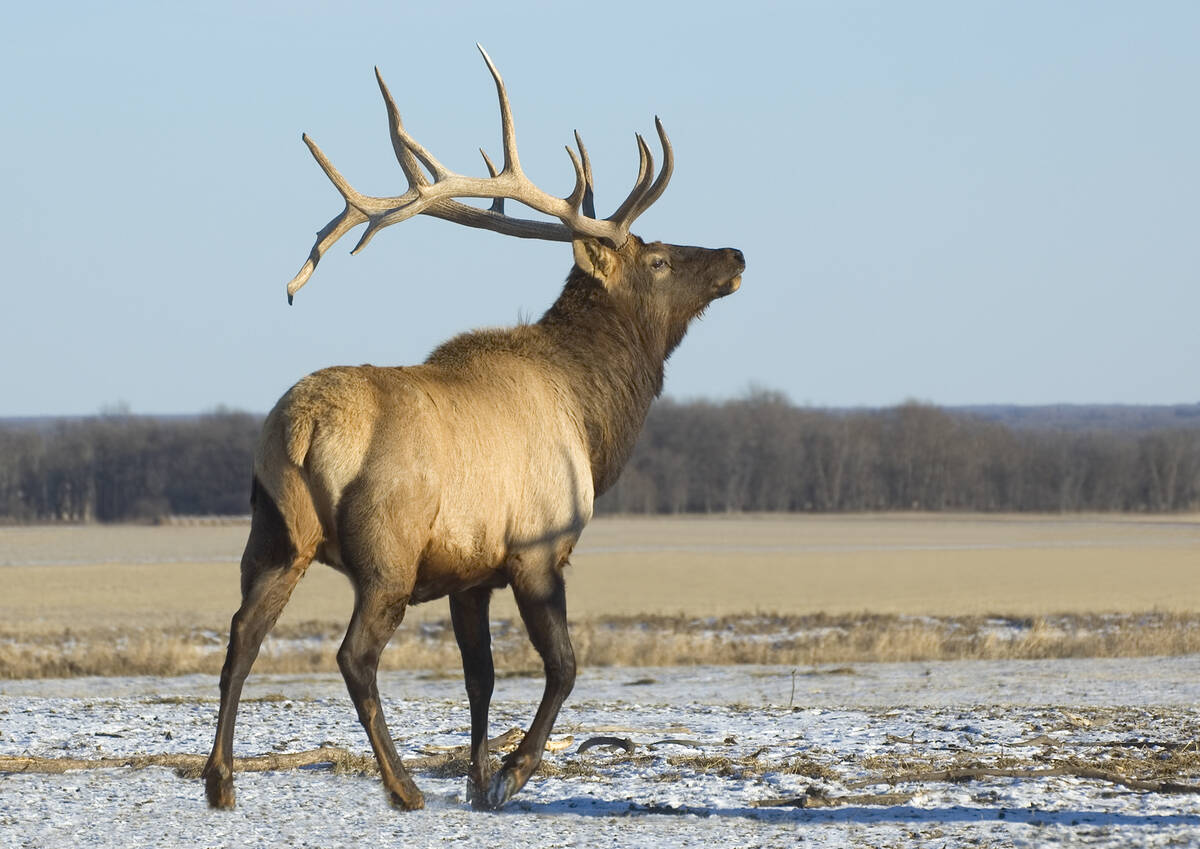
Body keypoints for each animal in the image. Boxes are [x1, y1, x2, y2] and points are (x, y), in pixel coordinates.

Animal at [202, 45, 744, 812]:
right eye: (659, 257)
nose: (735, 256)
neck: (593, 420)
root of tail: (301, 427)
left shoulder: (469, 573)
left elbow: (480, 678)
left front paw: (478, 775)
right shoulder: (538, 548)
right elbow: (563, 665)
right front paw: (511, 773)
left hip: (274, 534)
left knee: (242, 634)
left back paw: (219, 780)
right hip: (387, 551)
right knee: (354, 655)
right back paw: (402, 785)